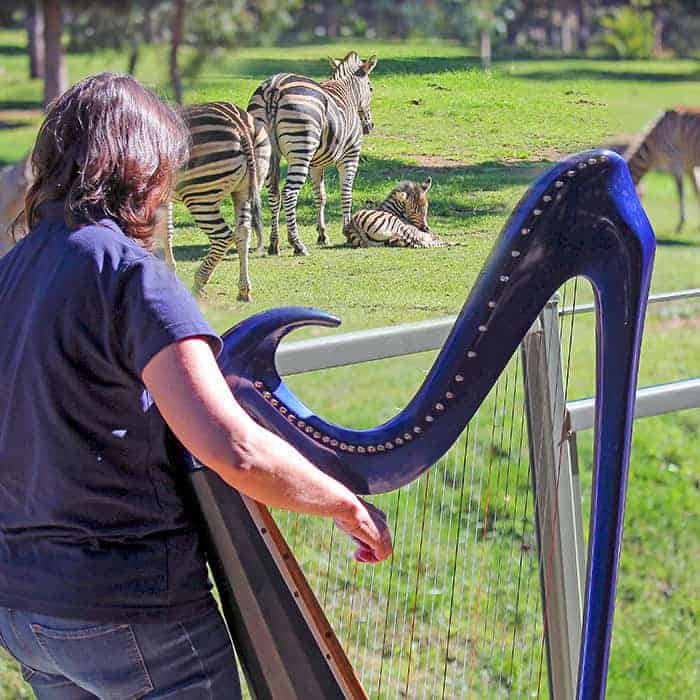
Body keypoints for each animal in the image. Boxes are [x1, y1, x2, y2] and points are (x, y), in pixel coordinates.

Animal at [159, 102, 270, 300]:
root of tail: (240, 123)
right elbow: (167, 230)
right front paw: (169, 271)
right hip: (244, 190)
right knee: (243, 232)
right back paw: (243, 289)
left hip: (200, 194)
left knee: (223, 237)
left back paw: (199, 284)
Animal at [247, 50, 378, 258]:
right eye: (370, 89)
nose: (369, 126)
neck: (348, 92)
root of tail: (274, 87)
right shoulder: (350, 156)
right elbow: (346, 192)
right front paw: (348, 230)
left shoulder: (316, 164)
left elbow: (321, 196)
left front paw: (322, 234)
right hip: (301, 148)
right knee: (289, 193)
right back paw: (297, 244)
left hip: (266, 152)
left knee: (274, 193)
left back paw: (274, 244)